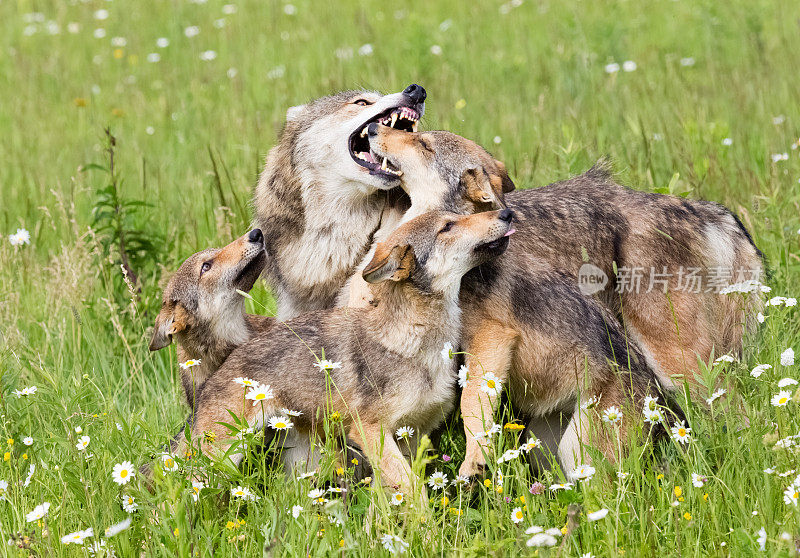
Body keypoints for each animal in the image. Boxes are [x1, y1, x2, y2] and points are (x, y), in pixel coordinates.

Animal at [173, 210, 516, 494]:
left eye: (459, 216)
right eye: (447, 226)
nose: (506, 212)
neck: (414, 342)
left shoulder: (412, 435)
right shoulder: (370, 432)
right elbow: (413, 493)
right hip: (220, 462)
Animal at [360, 124, 760, 480]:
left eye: (423, 143)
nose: (374, 127)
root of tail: (701, 209)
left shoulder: (491, 337)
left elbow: (472, 405)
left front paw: (473, 463)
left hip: (676, 369)